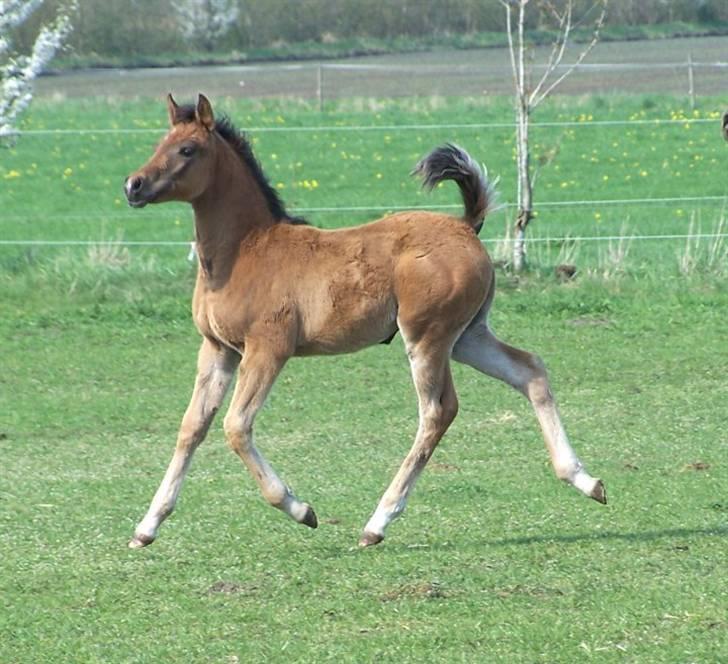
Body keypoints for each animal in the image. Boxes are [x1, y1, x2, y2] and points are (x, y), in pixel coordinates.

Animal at [123, 94, 604, 548]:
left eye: (187, 149)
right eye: (158, 143)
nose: (133, 185)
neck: (244, 252)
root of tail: (467, 226)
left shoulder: (268, 349)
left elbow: (236, 427)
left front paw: (301, 509)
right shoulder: (218, 349)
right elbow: (192, 427)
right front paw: (146, 527)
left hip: (427, 338)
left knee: (437, 411)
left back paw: (378, 522)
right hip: (468, 336)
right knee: (529, 370)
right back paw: (586, 480)